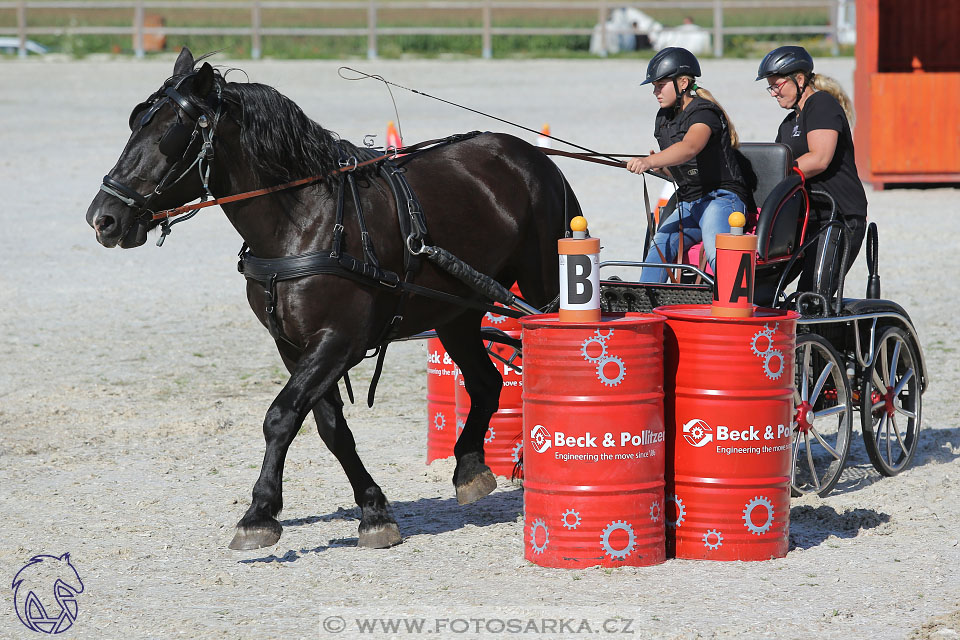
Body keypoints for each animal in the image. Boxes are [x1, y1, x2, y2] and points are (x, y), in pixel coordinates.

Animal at [86, 48, 576, 552]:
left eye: (169, 136)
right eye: (134, 123)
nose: (103, 218)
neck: (303, 221)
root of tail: (530, 155)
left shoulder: (338, 340)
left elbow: (281, 416)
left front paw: (258, 513)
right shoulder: (294, 346)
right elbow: (330, 427)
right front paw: (374, 510)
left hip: (543, 289)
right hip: (455, 312)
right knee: (484, 382)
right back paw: (469, 466)